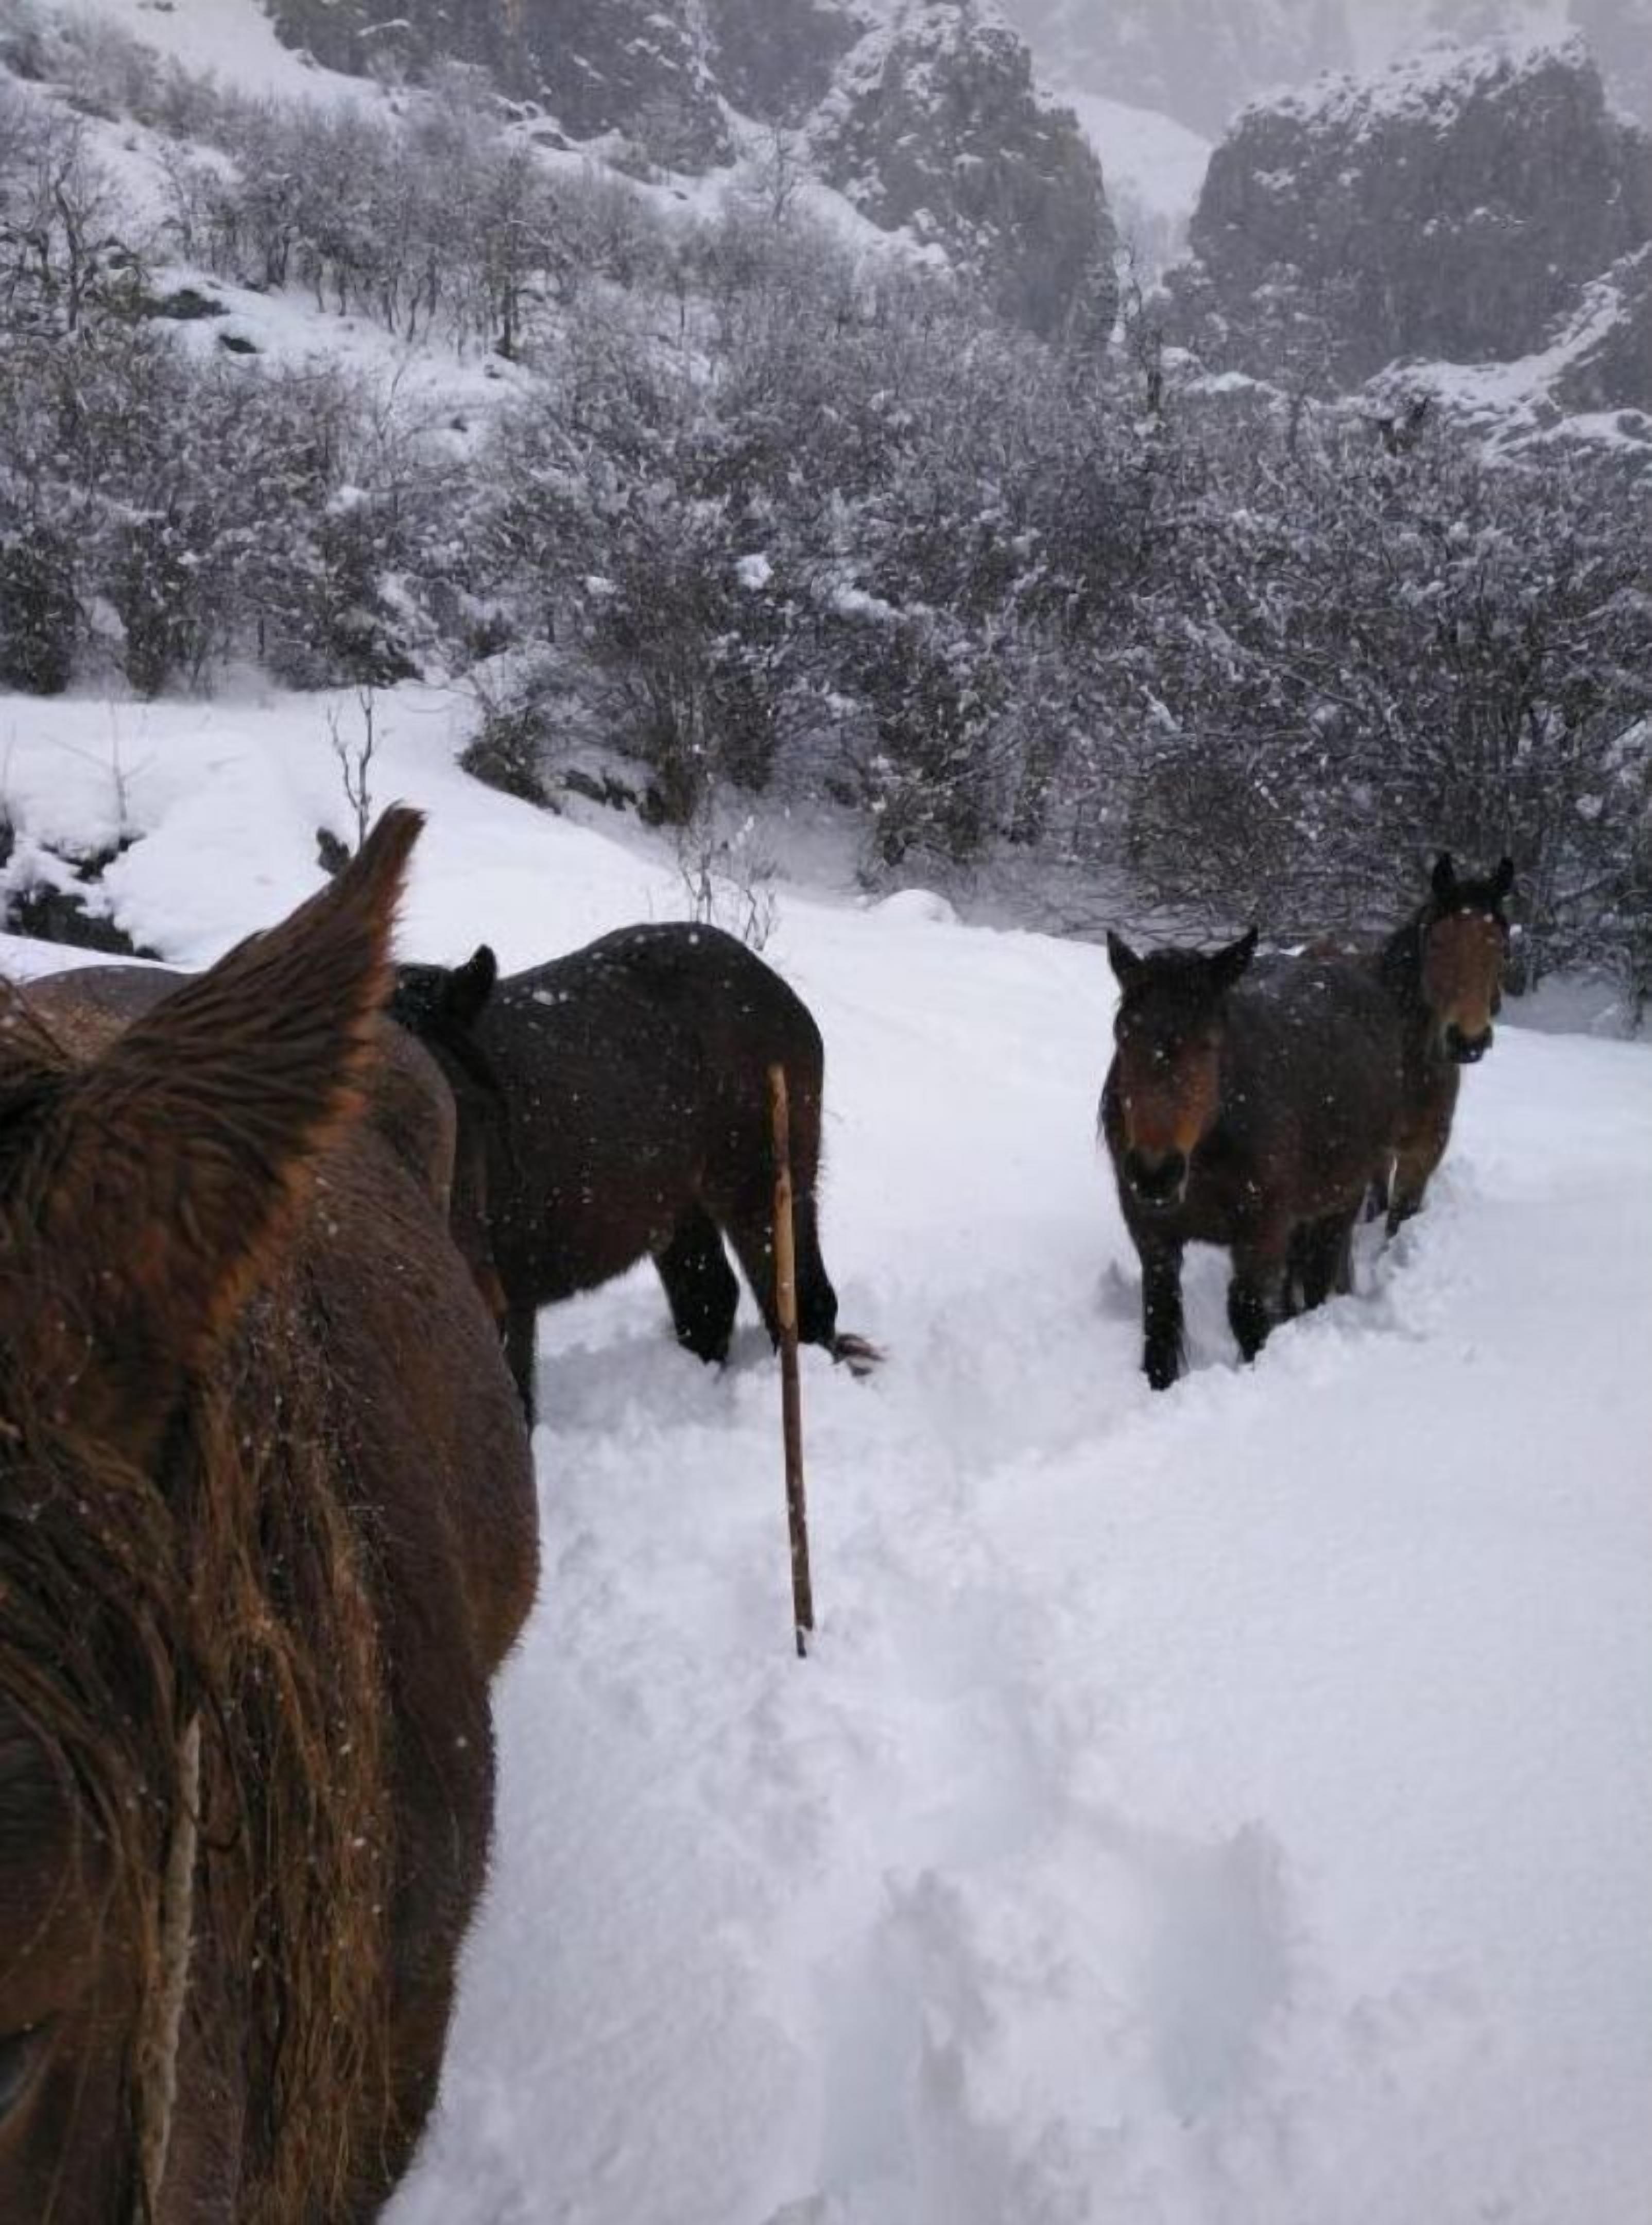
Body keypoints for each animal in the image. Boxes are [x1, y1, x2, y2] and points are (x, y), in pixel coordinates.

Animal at [389, 923, 876, 1423]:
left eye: (480, 1109)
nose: (469, 1289)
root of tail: (771, 984)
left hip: (761, 1188)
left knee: (801, 1301)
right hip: (679, 1209)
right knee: (708, 1301)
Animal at [1101, 928, 1404, 1389]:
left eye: (1209, 1044)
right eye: (1123, 1037)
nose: (1155, 1174)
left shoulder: (1260, 1233)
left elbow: (1248, 1315)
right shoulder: (1153, 1236)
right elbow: (1160, 1326)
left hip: (1342, 1200)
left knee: (1318, 1277)